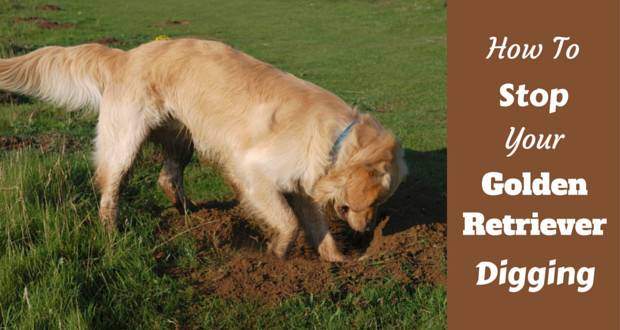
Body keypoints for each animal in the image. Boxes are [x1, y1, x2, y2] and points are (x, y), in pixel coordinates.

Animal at [0, 38, 410, 260]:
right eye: (373, 201)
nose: (368, 230)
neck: (336, 140)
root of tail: (127, 56)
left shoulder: (304, 187)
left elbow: (317, 227)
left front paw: (337, 261)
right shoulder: (252, 172)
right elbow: (289, 223)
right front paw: (277, 254)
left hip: (183, 139)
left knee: (167, 179)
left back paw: (190, 214)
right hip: (125, 141)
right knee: (110, 189)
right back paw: (112, 231)